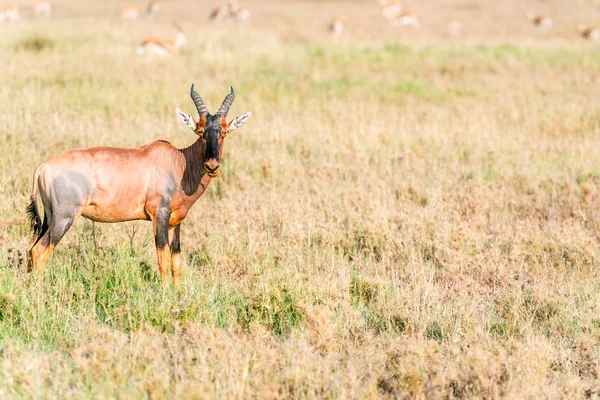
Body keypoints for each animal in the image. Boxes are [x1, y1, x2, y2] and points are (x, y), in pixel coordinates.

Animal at [25, 85, 251, 288]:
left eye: (224, 131)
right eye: (200, 131)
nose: (212, 166)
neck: (179, 161)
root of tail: (43, 167)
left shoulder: (176, 221)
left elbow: (176, 259)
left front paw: (178, 295)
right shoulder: (159, 215)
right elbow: (162, 257)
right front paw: (165, 294)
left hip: (49, 218)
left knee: (31, 249)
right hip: (64, 218)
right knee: (40, 250)